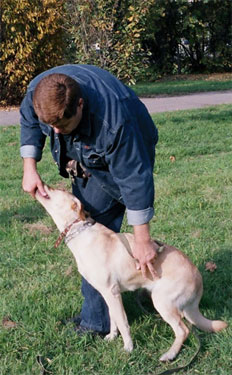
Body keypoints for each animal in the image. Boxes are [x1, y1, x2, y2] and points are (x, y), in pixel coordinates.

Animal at [35, 185, 227, 362]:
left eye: (56, 189)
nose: (41, 184)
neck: (81, 231)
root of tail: (198, 280)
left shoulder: (112, 292)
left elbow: (123, 322)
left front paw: (128, 348)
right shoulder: (108, 294)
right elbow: (113, 319)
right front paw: (111, 337)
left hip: (162, 301)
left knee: (183, 330)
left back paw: (170, 354)